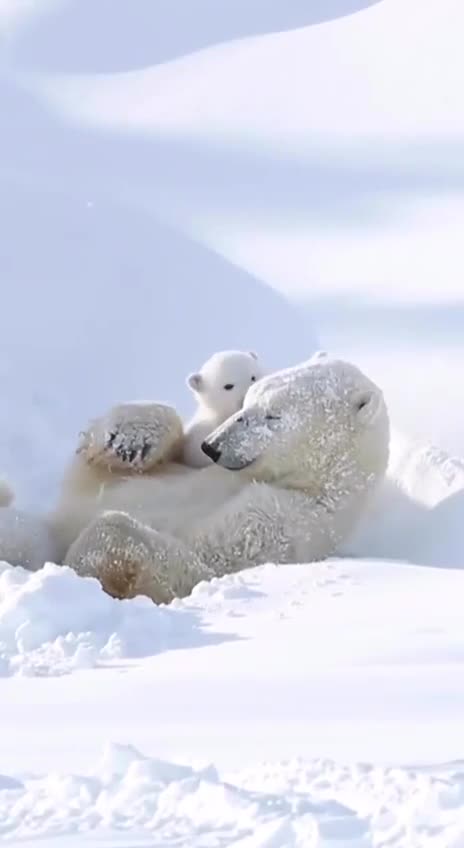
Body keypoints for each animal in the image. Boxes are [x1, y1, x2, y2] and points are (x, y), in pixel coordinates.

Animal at [38, 355, 390, 604]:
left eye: (272, 415)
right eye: (249, 399)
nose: (213, 446)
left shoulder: (286, 522)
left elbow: (200, 565)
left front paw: (79, 568)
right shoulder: (178, 470)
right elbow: (93, 473)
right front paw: (128, 440)